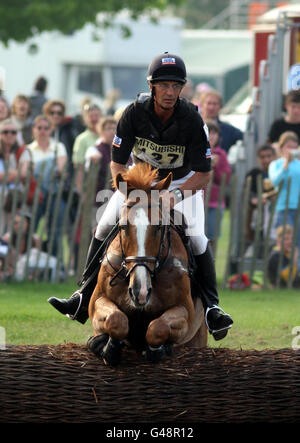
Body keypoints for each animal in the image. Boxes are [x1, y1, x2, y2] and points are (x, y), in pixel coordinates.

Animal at [88, 165, 207, 366]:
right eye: (123, 227)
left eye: (159, 227)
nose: (140, 291)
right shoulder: (98, 300)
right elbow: (116, 320)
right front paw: (108, 347)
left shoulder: (185, 311)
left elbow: (157, 328)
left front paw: (157, 350)